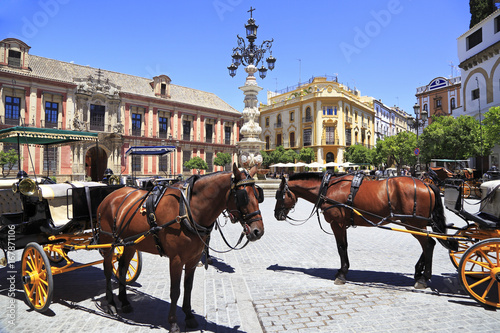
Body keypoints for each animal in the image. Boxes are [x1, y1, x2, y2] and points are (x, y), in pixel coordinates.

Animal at [95, 164, 264, 332]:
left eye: (258, 195)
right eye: (243, 196)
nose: (258, 231)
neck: (187, 210)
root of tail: (110, 196)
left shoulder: (193, 259)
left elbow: (188, 287)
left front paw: (189, 316)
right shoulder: (176, 260)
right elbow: (175, 291)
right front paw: (173, 323)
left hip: (130, 244)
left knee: (123, 268)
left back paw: (124, 302)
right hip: (108, 243)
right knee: (108, 269)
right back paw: (111, 304)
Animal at [274, 171, 458, 288]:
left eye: (278, 195)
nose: (276, 214)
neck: (328, 187)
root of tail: (426, 184)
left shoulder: (337, 224)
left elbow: (341, 248)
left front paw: (342, 274)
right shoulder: (342, 224)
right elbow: (344, 247)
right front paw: (342, 270)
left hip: (414, 223)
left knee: (428, 244)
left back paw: (424, 278)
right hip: (417, 225)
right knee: (429, 243)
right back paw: (419, 271)